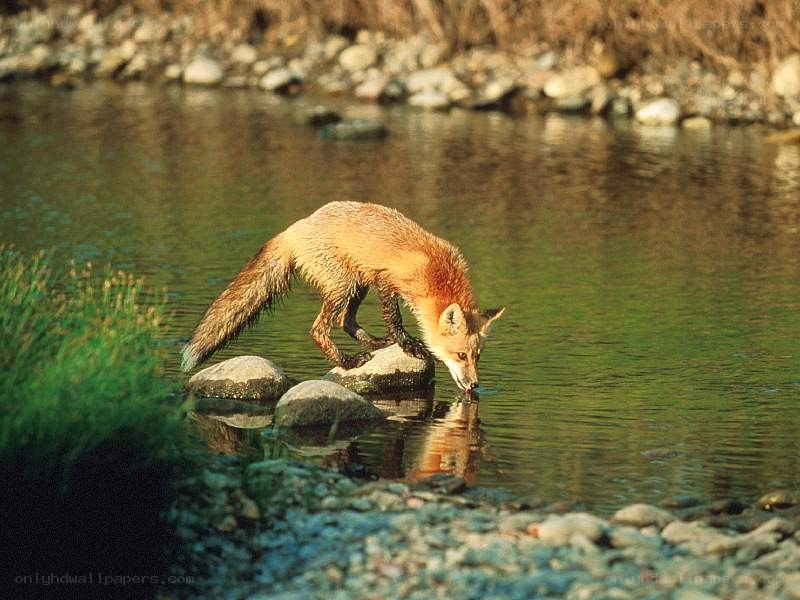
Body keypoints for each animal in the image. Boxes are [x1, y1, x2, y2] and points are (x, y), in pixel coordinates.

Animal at [181, 201, 504, 391]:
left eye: (477, 356)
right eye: (461, 355)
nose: (474, 386)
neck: (436, 273)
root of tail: (296, 227)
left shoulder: (378, 281)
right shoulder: (386, 281)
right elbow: (395, 320)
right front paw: (409, 345)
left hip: (357, 283)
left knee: (345, 321)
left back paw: (373, 344)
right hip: (343, 285)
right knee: (319, 329)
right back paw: (347, 362)